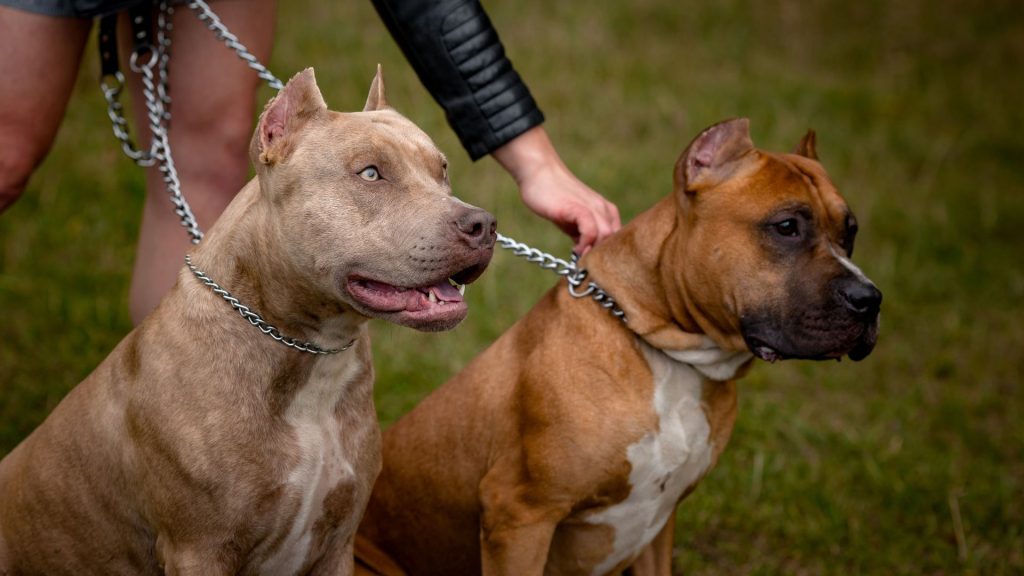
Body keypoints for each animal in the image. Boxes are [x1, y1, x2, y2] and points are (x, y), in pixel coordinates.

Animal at [0, 68, 495, 573]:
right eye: (371, 173)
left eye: (442, 170)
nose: (482, 224)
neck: (309, 353)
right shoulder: (199, 550)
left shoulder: (337, 545)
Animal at [354, 117, 880, 573]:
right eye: (787, 226)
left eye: (851, 232)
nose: (870, 299)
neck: (668, 357)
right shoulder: (519, 516)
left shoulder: (660, 523)